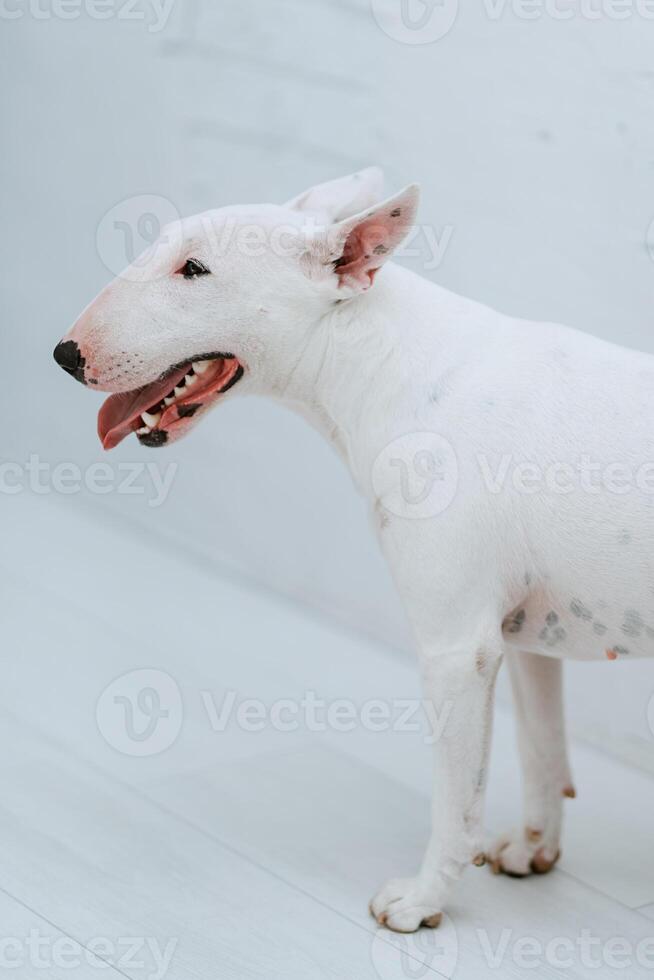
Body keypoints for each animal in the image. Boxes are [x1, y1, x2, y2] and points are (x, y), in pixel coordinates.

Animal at [56, 170, 654, 936]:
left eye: (194, 270)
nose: (65, 355)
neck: (382, 358)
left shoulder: (457, 651)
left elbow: (455, 799)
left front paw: (424, 901)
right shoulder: (525, 638)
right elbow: (542, 747)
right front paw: (533, 848)